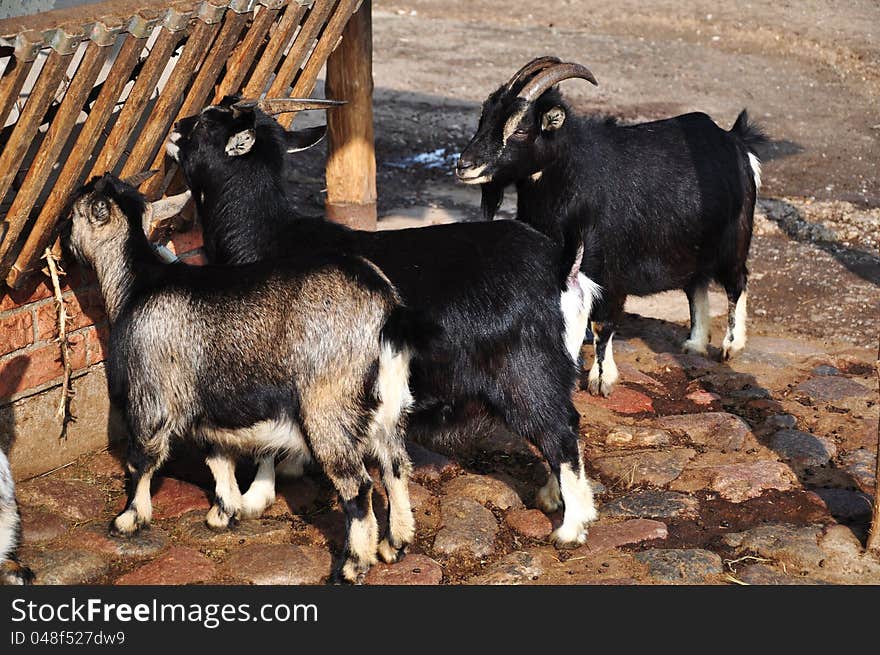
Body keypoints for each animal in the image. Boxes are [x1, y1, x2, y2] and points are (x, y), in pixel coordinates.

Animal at [65, 174, 416, 584]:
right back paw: (394, 545)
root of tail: (386, 310)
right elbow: (217, 456)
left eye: (73, 214)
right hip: (387, 406)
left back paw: (351, 566)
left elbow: (142, 459)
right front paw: (224, 511)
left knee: (357, 487)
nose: (64, 246)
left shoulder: (151, 394)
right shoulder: (206, 403)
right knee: (395, 467)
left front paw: (128, 519)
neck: (138, 284)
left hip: (329, 405)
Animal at [458, 57, 768, 394]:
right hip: (692, 245)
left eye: (521, 129)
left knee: (737, 282)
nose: (464, 165)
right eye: (485, 117)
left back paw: (730, 347)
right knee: (696, 286)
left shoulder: (609, 269)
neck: (570, 179)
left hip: (734, 239)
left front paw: (601, 379)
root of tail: (736, 141)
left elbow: (602, 324)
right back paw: (694, 345)